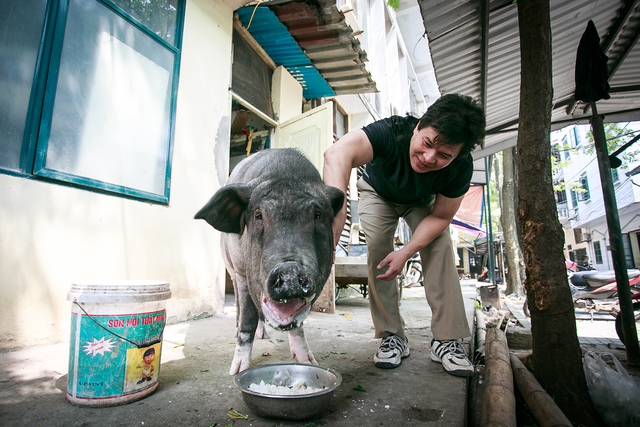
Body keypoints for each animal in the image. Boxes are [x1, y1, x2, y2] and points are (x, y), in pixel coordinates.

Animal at [195, 149, 344, 376]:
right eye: (258, 215)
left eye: (318, 215)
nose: (290, 270)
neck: (285, 172)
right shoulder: (241, 272)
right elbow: (247, 318)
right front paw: (236, 371)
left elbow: (297, 325)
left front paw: (309, 362)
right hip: (232, 271)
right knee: (239, 305)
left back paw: (264, 335)